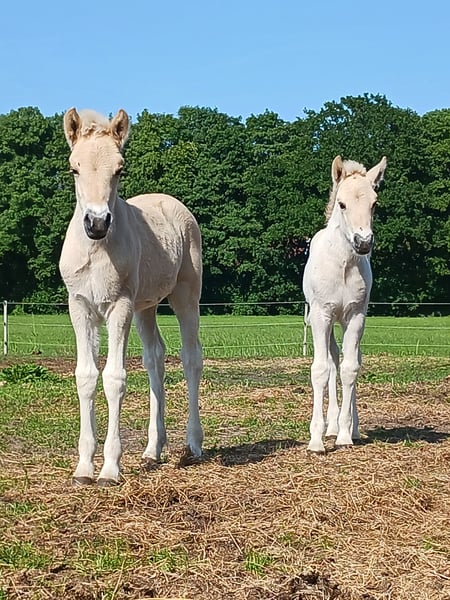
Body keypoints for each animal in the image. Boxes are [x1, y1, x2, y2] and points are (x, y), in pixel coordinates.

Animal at [59, 108, 204, 486]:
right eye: (74, 168)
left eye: (119, 169)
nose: (96, 223)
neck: (96, 250)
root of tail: (170, 201)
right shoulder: (80, 306)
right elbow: (86, 376)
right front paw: (84, 468)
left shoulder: (119, 306)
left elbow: (114, 378)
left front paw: (110, 469)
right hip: (146, 307)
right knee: (155, 358)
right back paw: (153, 451)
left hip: (186, 296)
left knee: (191, 358)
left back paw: (193, 445)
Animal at [302, 155, 387, 454]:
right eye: (341, 203)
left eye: (374, 203)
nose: (363, 243)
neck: (343, 265)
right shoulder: (321, 315)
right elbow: (320, 369)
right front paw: (317, 440)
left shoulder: (356, 316)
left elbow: (351, 369)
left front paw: (346, 435)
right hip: (326, 321)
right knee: (330, 360)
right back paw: (329, 426)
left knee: (348, 361)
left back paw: (350, 428)